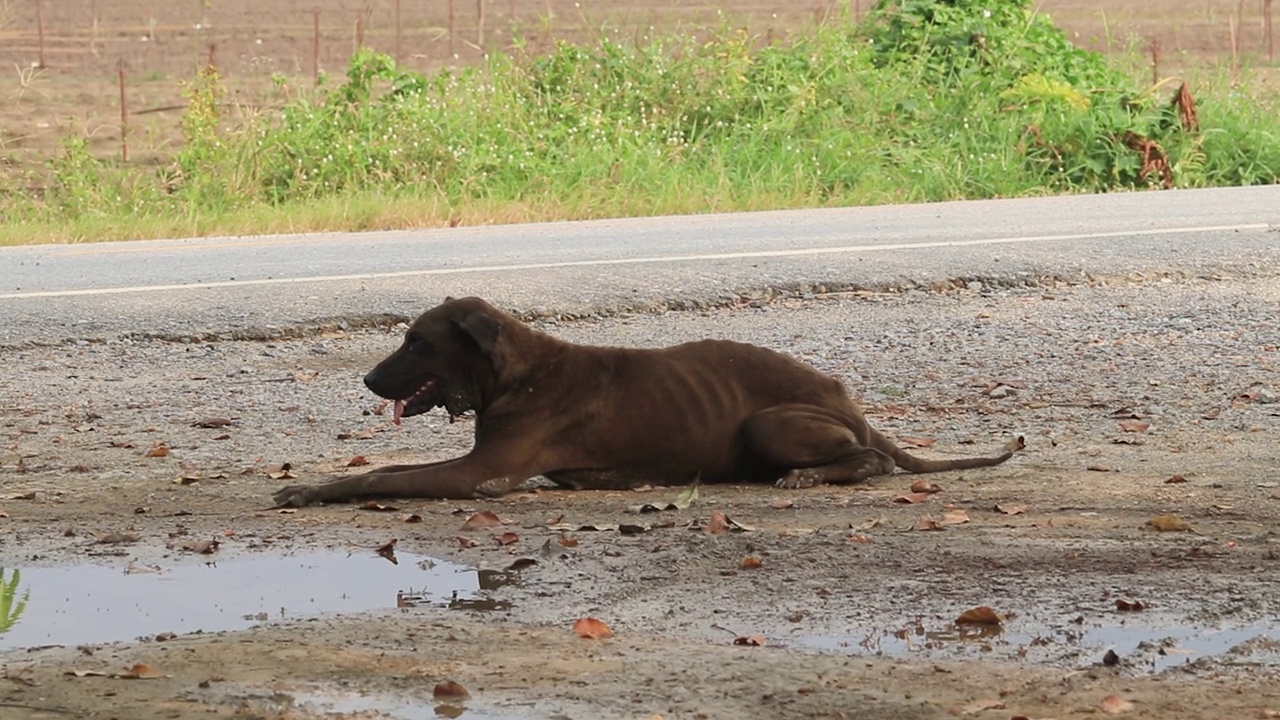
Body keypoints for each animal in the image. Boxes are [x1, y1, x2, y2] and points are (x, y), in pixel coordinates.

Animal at [272, 294, 1018, 502]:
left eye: (417, 342)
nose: (368, 382)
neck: (518, 371)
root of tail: (849, 398)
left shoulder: (482, 470)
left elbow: (389, 475)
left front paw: (309, 490)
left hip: (770, 423)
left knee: (872, 460)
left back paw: (807, 476)